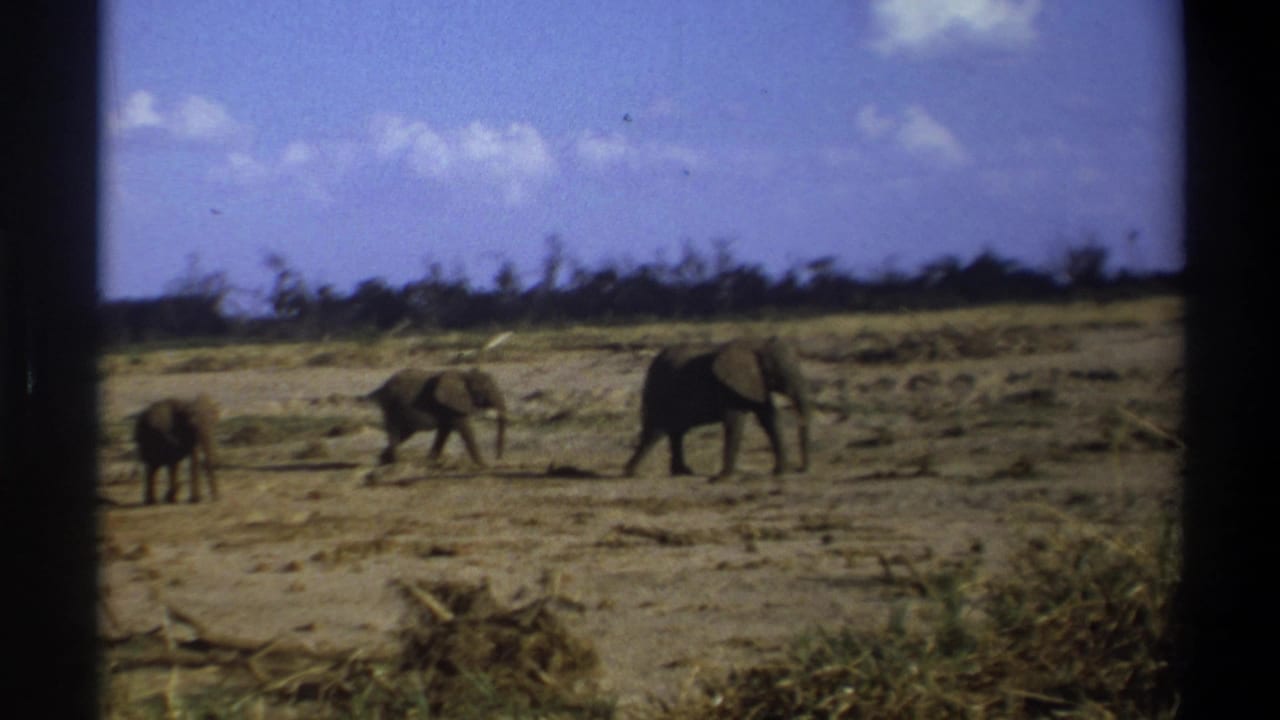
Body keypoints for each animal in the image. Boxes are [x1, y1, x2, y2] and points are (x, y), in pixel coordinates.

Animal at [367, 368, 507, 468]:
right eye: (484, 390)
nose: (498, 459)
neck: (464, 375)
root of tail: (382, 387)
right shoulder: (452, 404)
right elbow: (465, 429)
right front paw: (484, 465)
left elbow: (444, 431)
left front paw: (431, 461)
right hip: (392, 405)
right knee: (395, 432)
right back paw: (395, 462)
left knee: (404, 433)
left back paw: (384, 461)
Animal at [623, 337, 811, 479]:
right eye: (782, 375)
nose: (800, 469)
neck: (756, 345)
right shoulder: (729, 387)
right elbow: (735, 424)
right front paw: (723, 477)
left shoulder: (756, 384)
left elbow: (769, 419)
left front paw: (780, 472)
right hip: (660, 394)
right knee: (656, 432)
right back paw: (632, 473)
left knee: (675, 432)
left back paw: (682, 472)